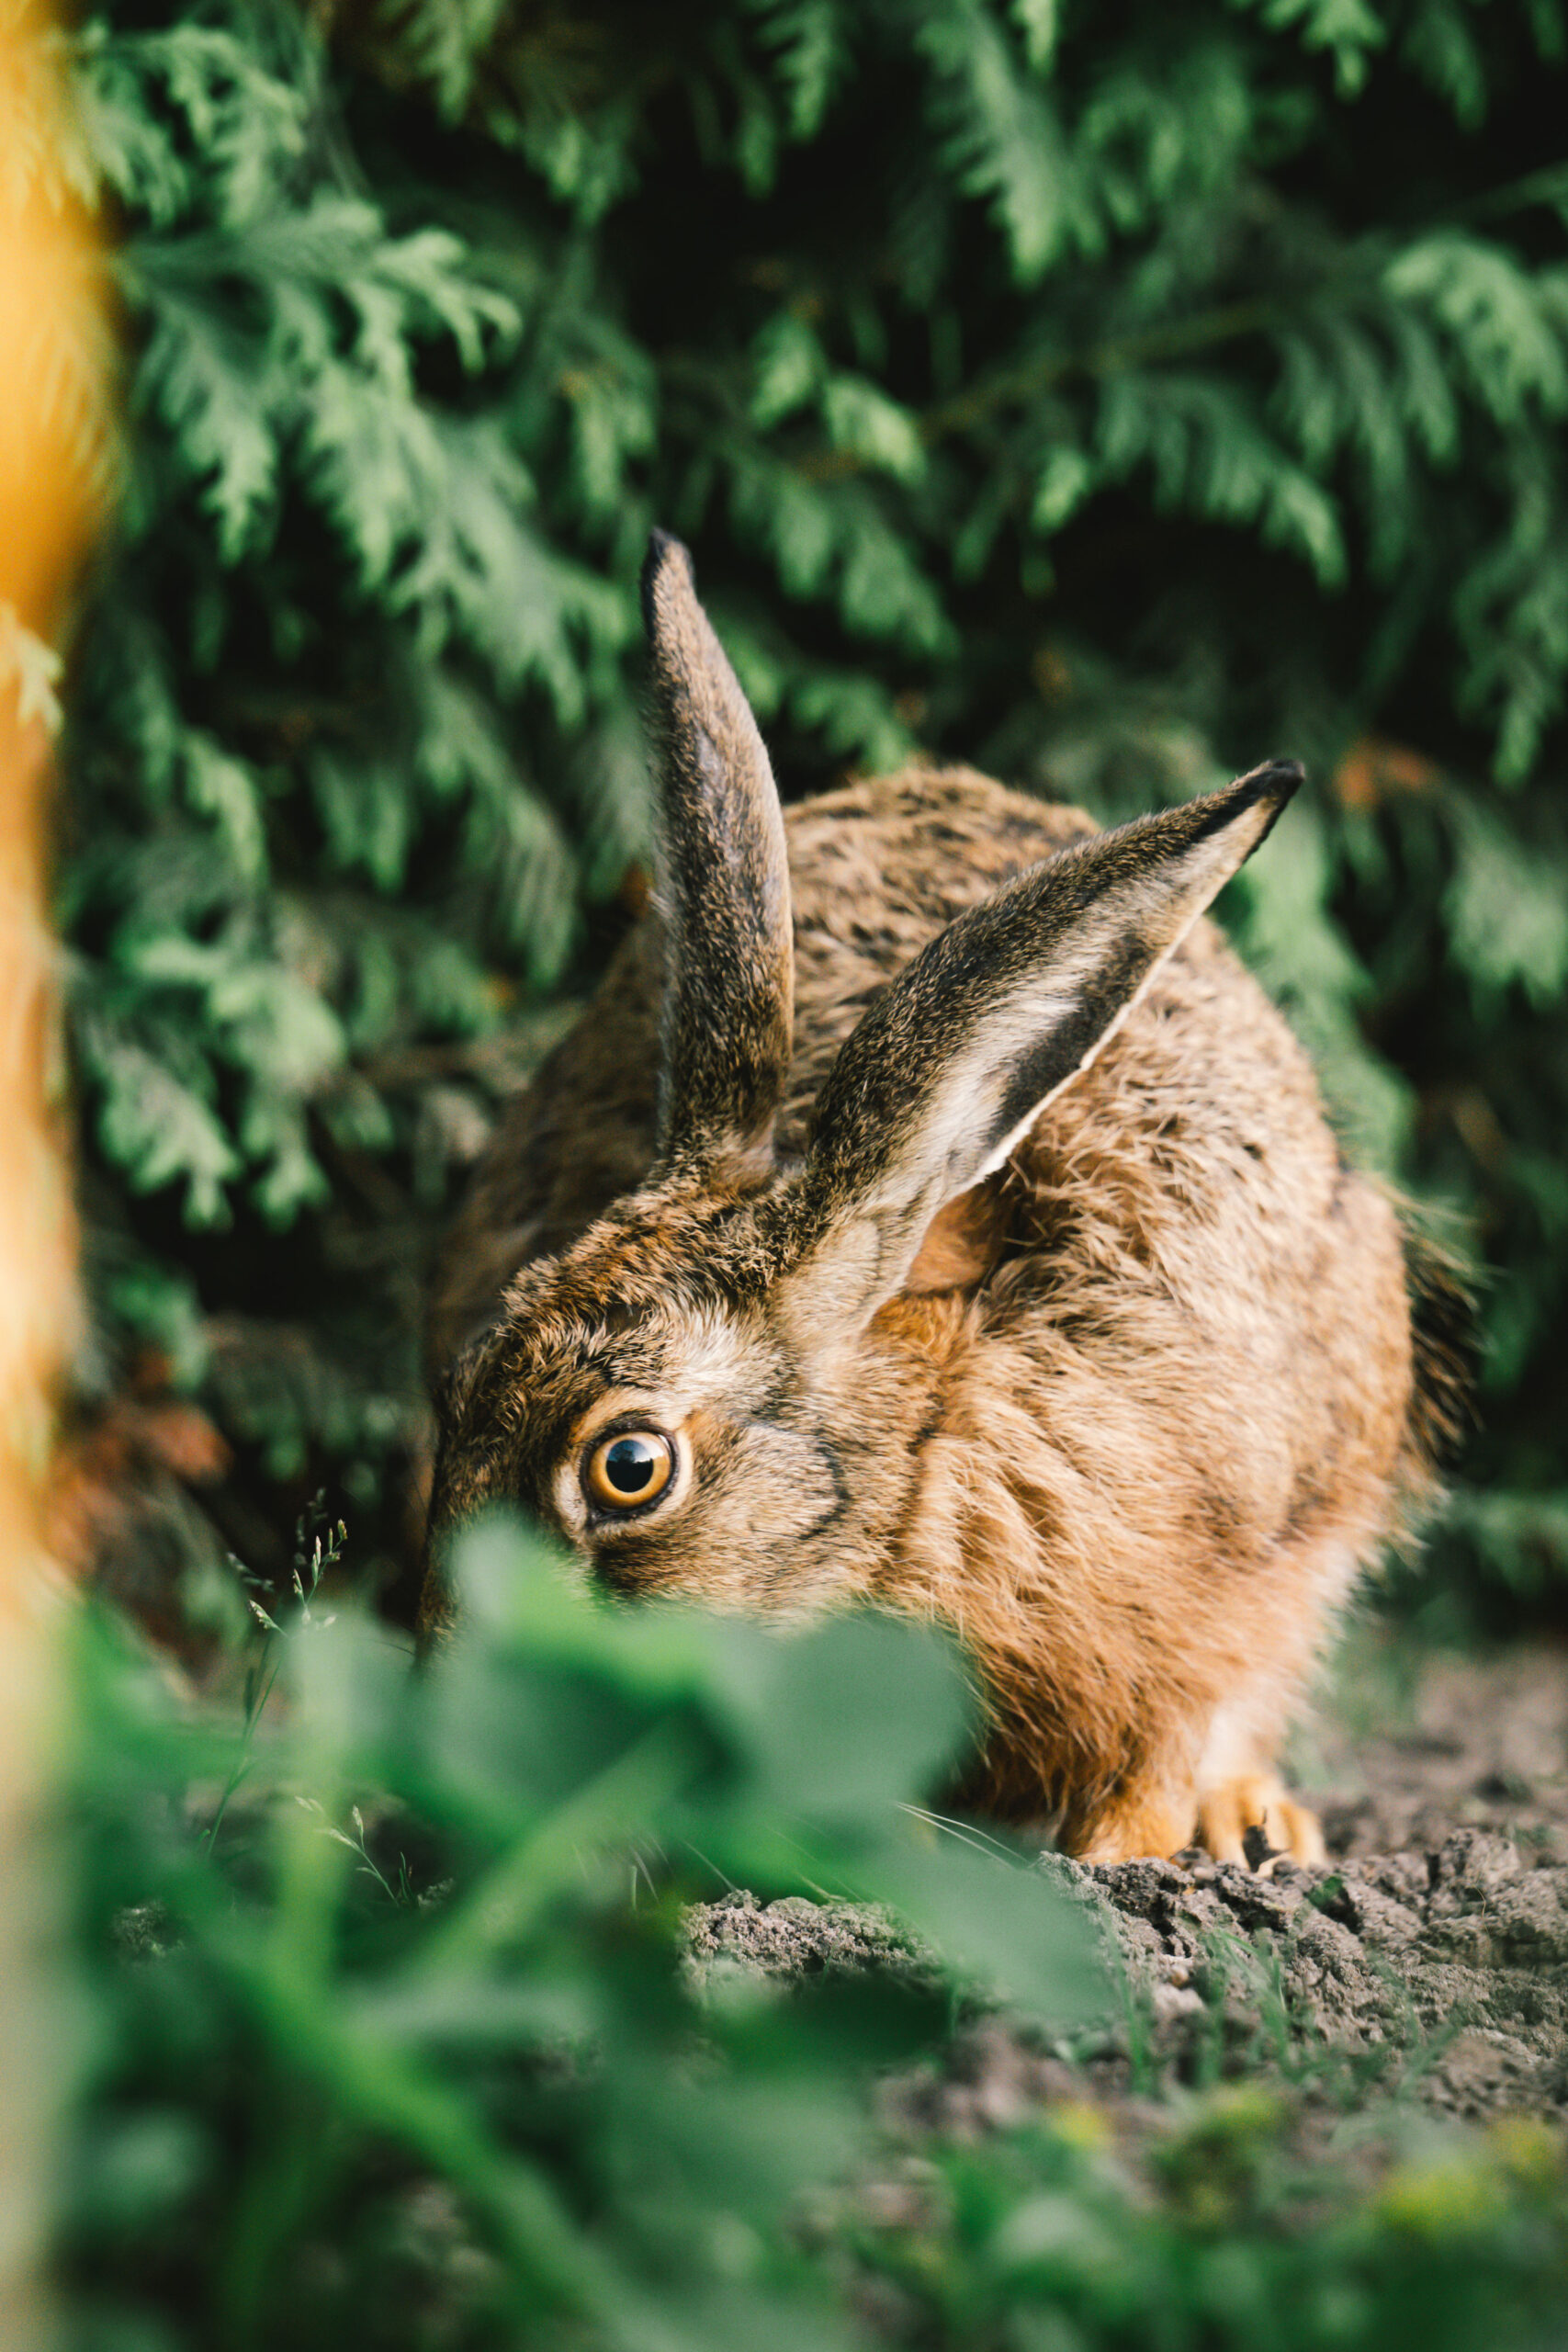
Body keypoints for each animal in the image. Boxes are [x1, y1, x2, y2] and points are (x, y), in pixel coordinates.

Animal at [419, 530, 1471, 1868]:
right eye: (457, 1390)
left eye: (629, 1469)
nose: (445, 1743)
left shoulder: (1239, 1551)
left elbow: (1173, 1729)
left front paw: (1117, 1851)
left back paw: (1254, 1823)